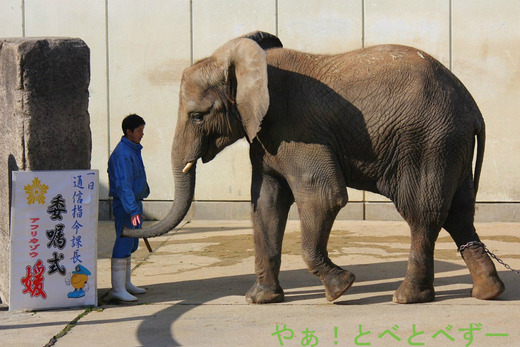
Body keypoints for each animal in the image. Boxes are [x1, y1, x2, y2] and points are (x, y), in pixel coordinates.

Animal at [122, 31, 504, 306]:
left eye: (197, 116)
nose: (128, 229)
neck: (250, 63)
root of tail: (474, 109)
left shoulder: (296, 129)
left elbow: (323, 196)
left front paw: (340, 289)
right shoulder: (267, 137)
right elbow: (265, 204)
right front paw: (260, 300)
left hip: (428, 143)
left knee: (422, 213)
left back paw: (406, 297)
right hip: (449, 145)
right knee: (458, 214)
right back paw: (488, 292)